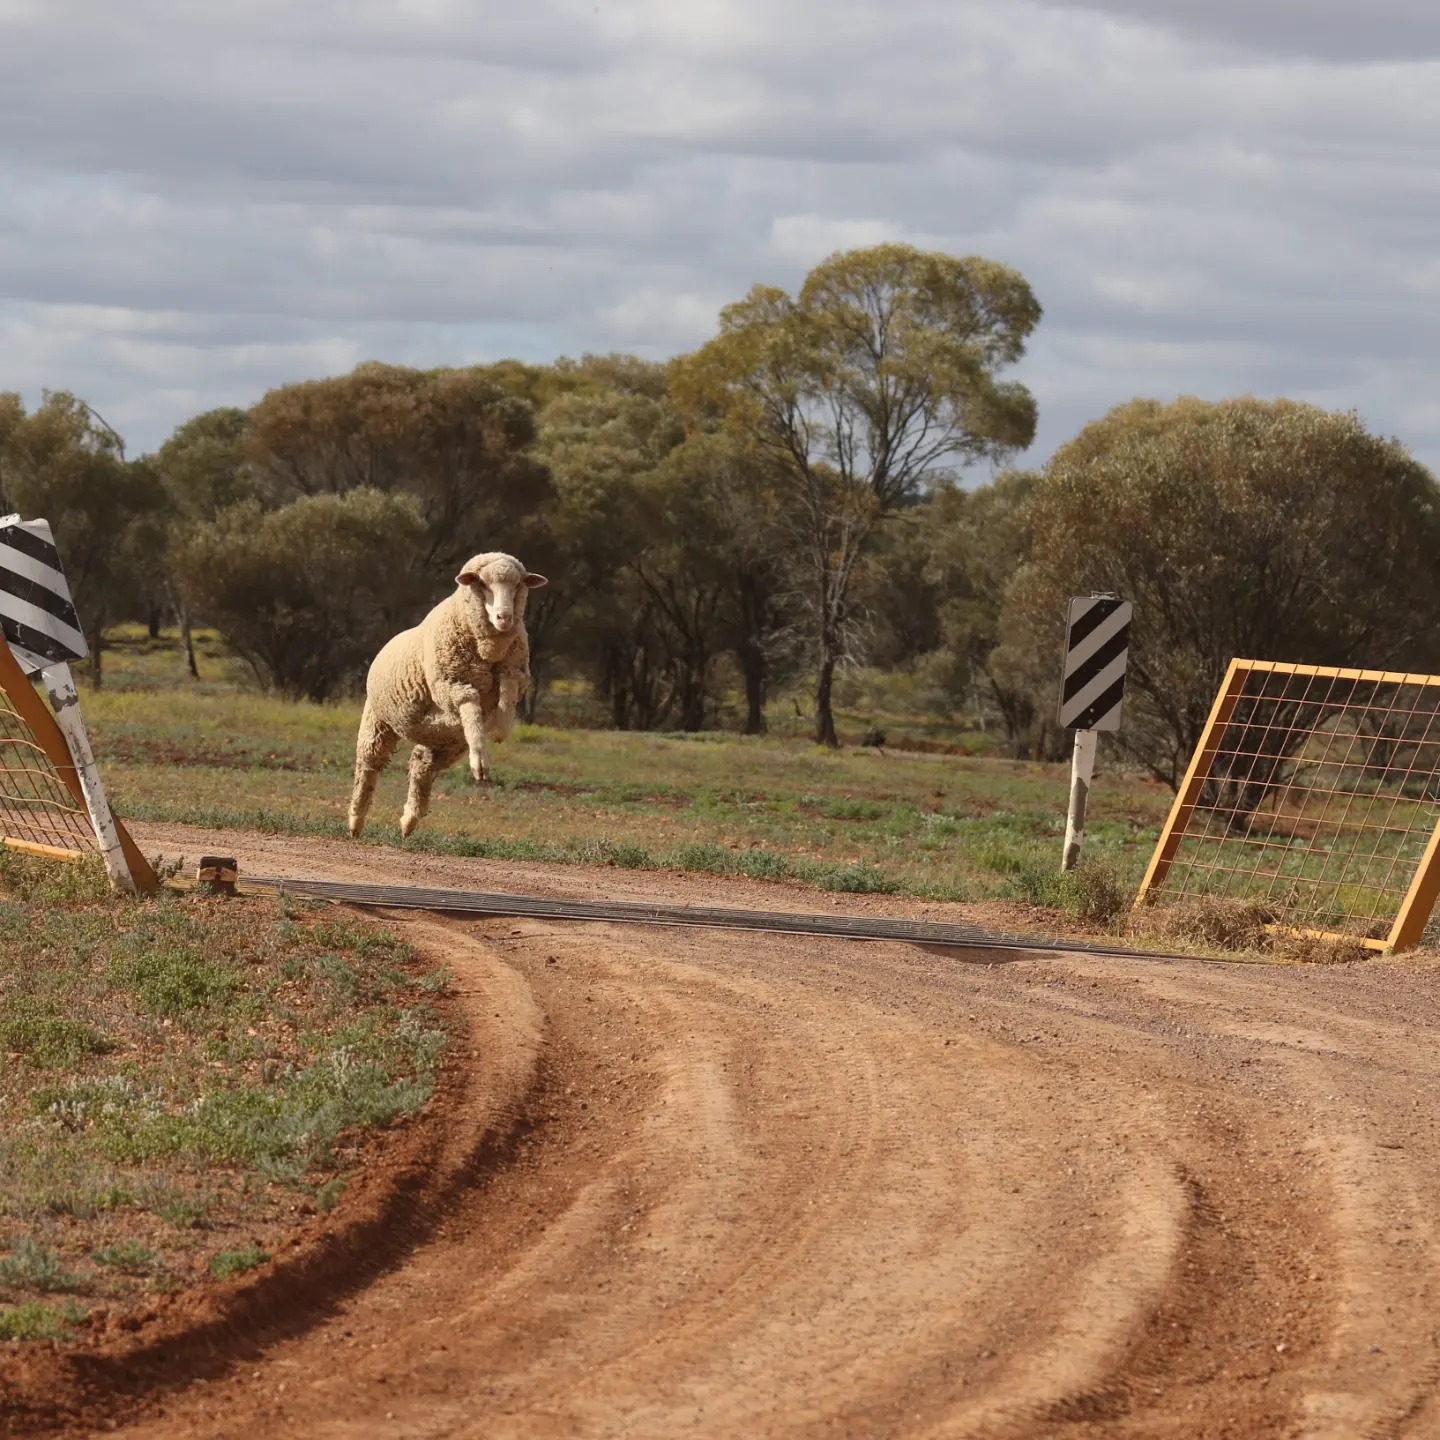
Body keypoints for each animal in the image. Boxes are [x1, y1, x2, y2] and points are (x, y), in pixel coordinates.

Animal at [347, 550, 544, 840]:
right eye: (482, 584)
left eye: (518, 584)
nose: (504, 618)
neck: (488, 651)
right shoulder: (452, 685)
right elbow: (471, 705)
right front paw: (480, 761)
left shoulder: (514, 671)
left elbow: (507, 699)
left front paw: (499, 728)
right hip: (378, 721)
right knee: (368, 768)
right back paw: (356, 821)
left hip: (444, 742)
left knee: (421, 765)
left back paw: (408, 821)